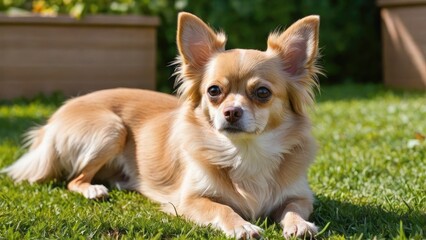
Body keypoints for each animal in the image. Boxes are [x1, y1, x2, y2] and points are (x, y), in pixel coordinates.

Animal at [2, 12, 320, 238]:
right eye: (214, 91)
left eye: (262, 93)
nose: (231, 112)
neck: (245, 152)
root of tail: (51, 121)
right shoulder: (189, 200)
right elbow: (221, 208)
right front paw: (241, 225)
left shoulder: (300, 196)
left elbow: (294, 208)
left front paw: (299, 224)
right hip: (111, 129)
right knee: (74, 179)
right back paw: (94, 189)